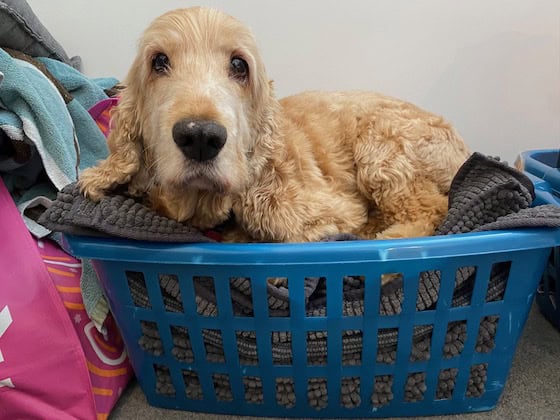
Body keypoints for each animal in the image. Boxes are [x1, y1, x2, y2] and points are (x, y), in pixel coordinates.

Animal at [80, 5, 472, 243]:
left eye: (239, 65)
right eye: (158, 61)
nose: (200, 137)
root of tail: (464, 147)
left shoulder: (326, 210)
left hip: (381, 145)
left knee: (429, 208)